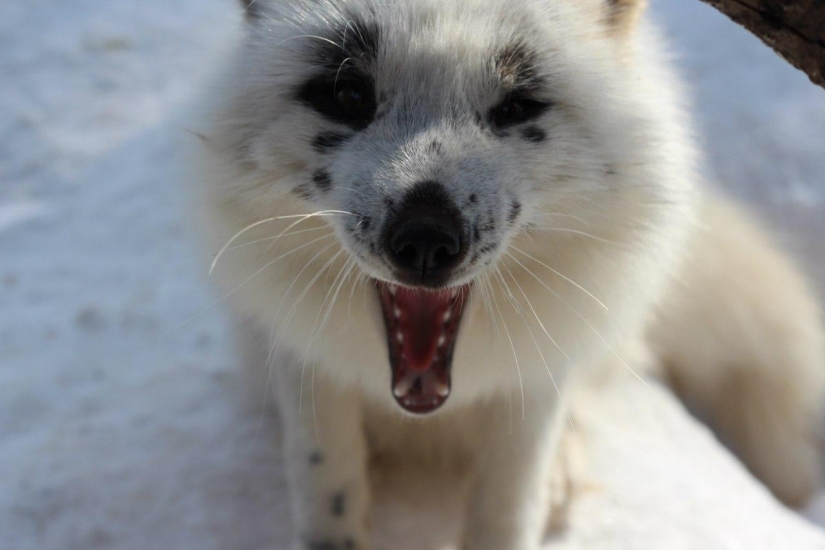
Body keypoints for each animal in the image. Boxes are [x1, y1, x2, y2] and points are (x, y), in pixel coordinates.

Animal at [188, 0, 825, 548]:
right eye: (348, 93)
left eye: (517, 106)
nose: (425, 240)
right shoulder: (304, 359)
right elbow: (327, 488)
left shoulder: (537, 379)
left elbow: (508, 507)